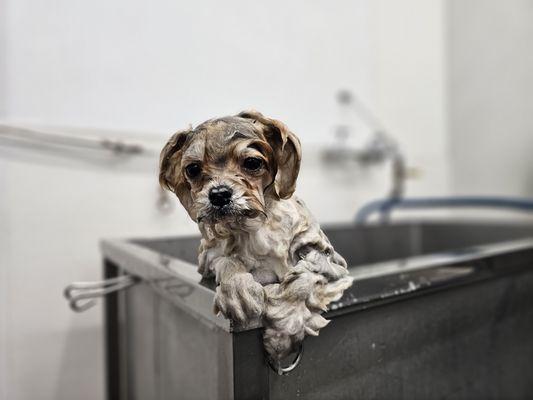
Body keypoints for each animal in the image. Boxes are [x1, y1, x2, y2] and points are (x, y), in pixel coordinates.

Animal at [160, 111, 356, 360]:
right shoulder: (207, 259)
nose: (219, 194)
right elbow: (227, 261)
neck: (254, 229)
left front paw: (285, 328)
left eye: (252, 163)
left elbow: (304, 278)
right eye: (193, 169)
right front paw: (238, 291)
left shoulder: (332, 262)